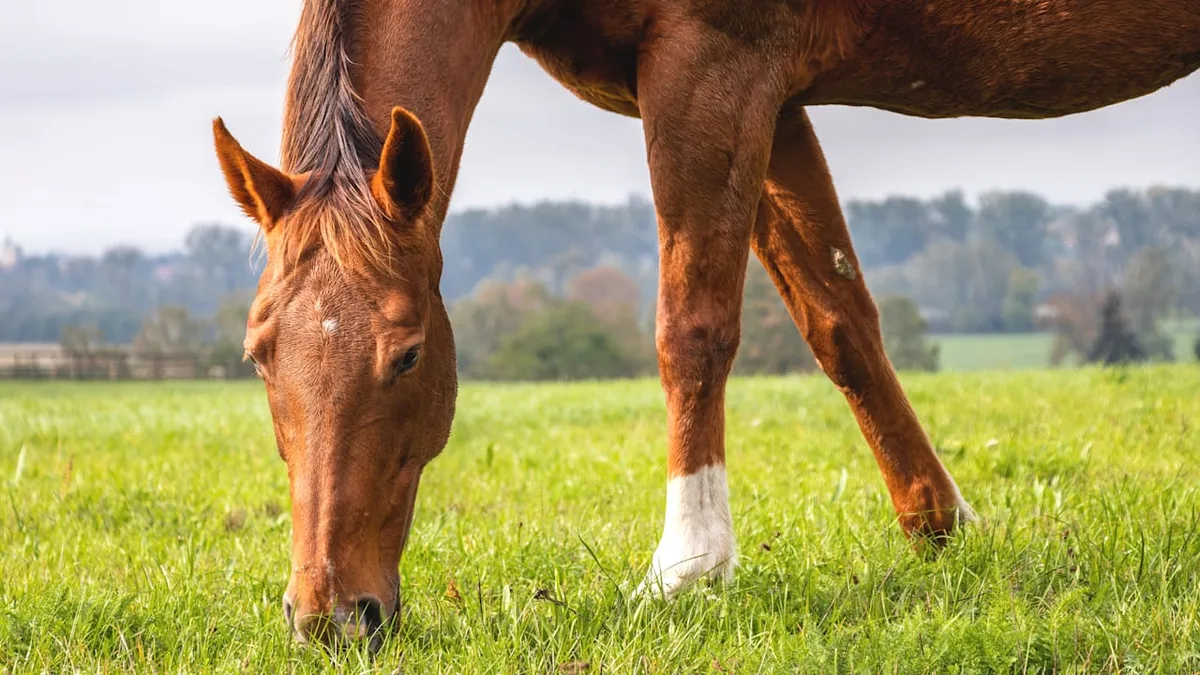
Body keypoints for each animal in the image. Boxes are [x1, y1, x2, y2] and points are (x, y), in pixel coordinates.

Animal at [212, 0, 1200, 648]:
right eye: (258, 354)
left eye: (411, 354)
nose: (330, 616)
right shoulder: (775, 103)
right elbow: (839, 319)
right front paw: (939, 526)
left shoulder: (713, 70)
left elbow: (691, 328)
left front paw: (687, 565)